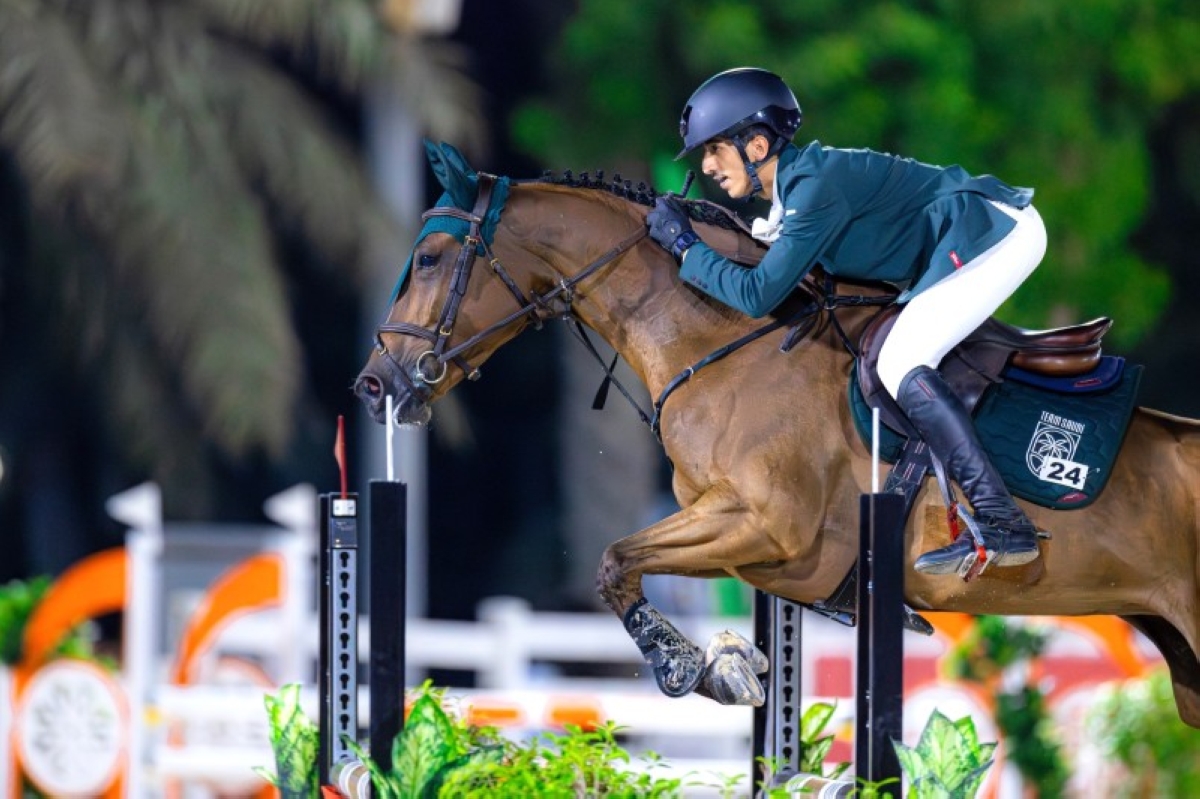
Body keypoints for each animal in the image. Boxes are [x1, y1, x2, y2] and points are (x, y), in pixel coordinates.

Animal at [355, 141, 1200, 725]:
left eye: (429, 257)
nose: (375, 385)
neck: (723, 342)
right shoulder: (754, 543)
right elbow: (634, 568)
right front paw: (730, 662)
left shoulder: (764, 524)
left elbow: (614, 561)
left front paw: (687, 665)